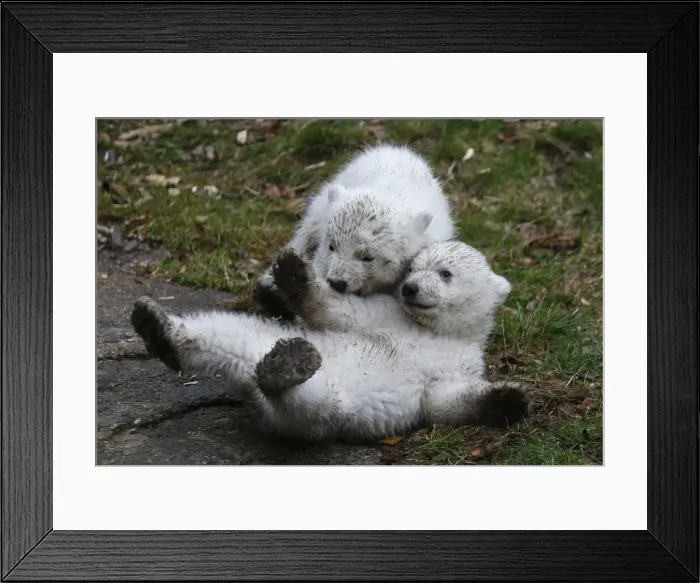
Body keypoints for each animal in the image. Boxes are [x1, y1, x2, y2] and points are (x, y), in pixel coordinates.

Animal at [131, 241, 531, 442]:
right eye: (412, 268)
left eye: (445, 273)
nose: (410, 288)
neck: (435, 330)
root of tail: (248, 377)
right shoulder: (386, 314)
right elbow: (339, 311)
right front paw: (294, 273)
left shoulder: (463, 360)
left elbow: (442, 400)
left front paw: (509, 398)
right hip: (271, 341)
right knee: (228, 331)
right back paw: (157, 327)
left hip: (328, 411)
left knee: (309, 402)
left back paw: (282, 368)